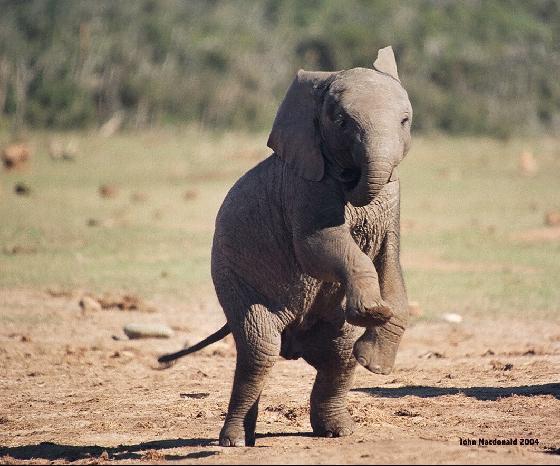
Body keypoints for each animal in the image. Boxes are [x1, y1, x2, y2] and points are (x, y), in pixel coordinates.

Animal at [160, 46, 414, 448]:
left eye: (405, 121)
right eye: (340, 122)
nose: (351, 179)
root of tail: (294, 344)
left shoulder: (393, 196)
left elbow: (390, 259)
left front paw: (375, 361)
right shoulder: (305, 187)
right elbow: (316, 246)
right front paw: (373, 312)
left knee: (339, 358)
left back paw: (336, 430)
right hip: (235, 280)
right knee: (259, 351)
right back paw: (235, 441)